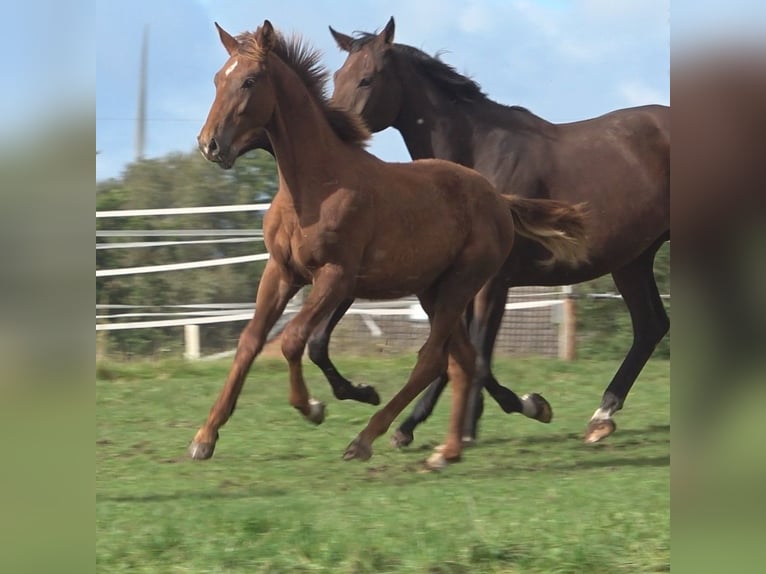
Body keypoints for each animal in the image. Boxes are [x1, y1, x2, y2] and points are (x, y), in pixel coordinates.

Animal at [192, 22, 588, 470]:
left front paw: (313, 407)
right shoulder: (281, 271)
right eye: (217, 79)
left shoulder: (335, 276)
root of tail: (497, 198)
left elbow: (294, 339)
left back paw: (368, 438)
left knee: (433, 359)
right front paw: (205, 436)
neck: (315, 187)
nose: (209, 144)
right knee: (463, 360)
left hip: (461, 283)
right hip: (433, 289)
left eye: (249, 81)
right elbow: (250, 342)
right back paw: (451, 447)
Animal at [316, 16, 668, 446]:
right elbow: (456, 349)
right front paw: (416, 426)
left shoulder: (492, 283)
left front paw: (485, 421)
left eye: (367, 78)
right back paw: (602, 416)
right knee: (651, 326)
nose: (335, 131)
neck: (477, 157)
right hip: (633, 260)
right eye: (337, 76)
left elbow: (475, 354)